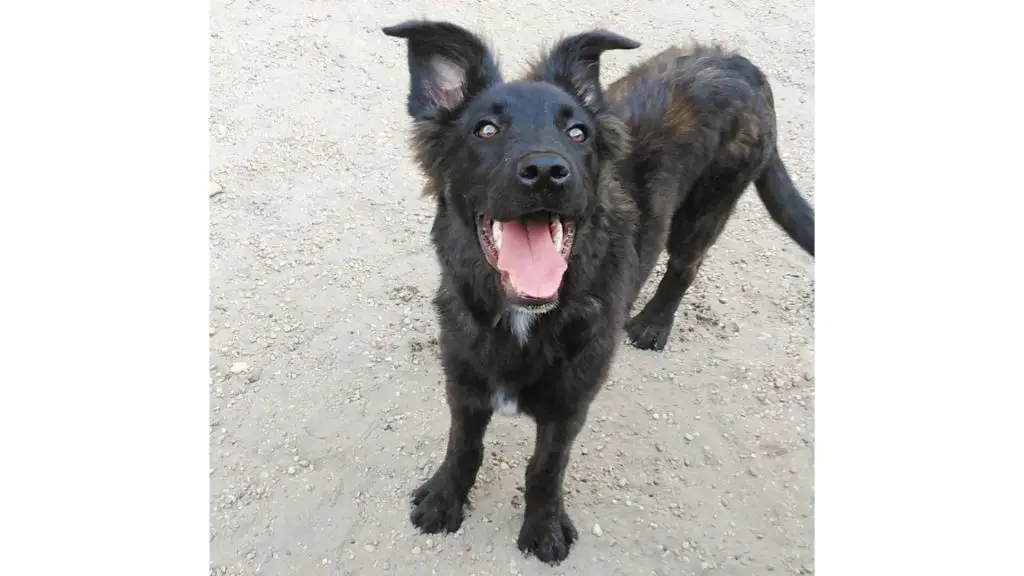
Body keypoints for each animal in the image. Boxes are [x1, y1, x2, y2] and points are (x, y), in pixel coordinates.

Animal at [380, 20, 811, 561]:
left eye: (577, 132)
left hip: (708, 208)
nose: (547, 171)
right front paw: (444, 500)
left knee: (684, 269)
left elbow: (544, 469)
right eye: (486, 129)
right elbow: (463, 446)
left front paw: (544, 529)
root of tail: (739, 63)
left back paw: (652, 324)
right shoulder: (463, 380)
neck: (523, 318)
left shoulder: (571, 404)